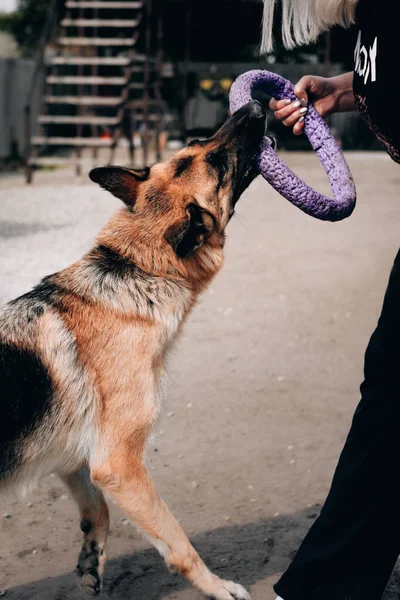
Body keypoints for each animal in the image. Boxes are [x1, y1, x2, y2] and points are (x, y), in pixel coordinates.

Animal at [1, 101, 268, 596]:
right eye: (217, 164)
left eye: (199, 144)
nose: (254, 105)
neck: (136, 266)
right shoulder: (119, 464)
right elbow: (178, 541)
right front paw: (217, 587)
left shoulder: (80, 458)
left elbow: (98, 512)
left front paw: (91, 561)